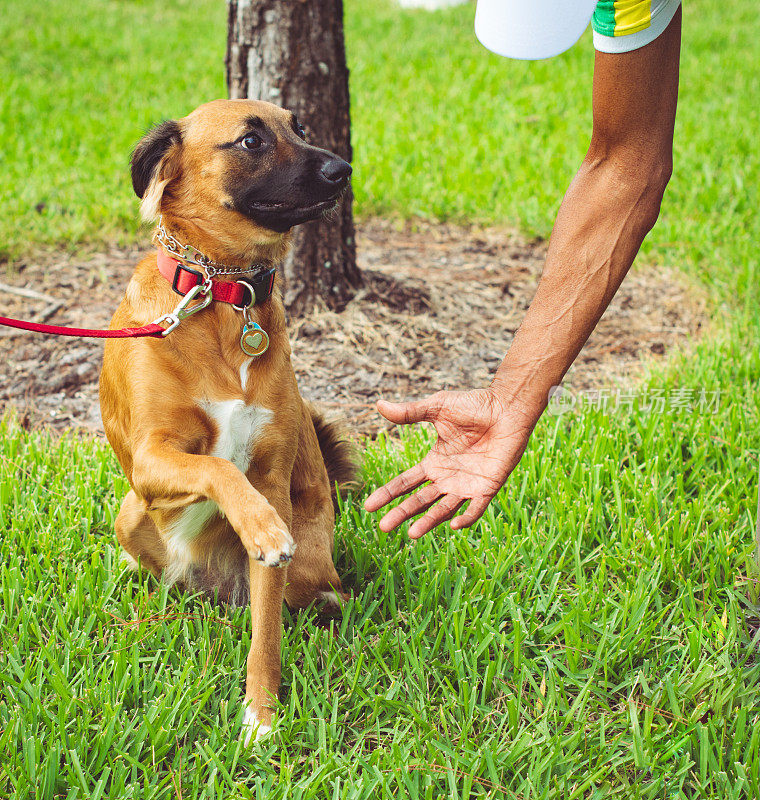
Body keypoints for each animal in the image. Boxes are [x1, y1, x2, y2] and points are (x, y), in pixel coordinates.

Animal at [100, 101, 356, 744]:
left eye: (300, 128)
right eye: (249, 141)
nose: (342, 169)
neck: (221, 292)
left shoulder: (272, 480)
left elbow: (266, 635)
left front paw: (260, 716)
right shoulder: (151, 459)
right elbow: (217, 467)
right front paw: (259, 525)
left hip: (309, 569)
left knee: (321, 597)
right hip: (131, 510)